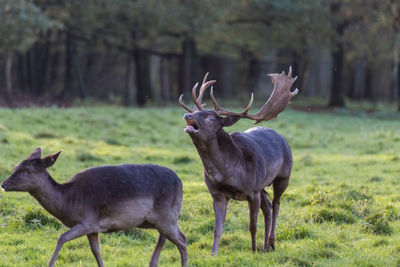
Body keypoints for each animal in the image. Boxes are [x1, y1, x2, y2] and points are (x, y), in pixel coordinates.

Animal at [0, 148, 188, 267]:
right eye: (16, 166)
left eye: (28, 171)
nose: (4, 184)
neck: (69, 203)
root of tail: (180, 182)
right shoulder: (93, 228)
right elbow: (96, 251)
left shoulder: (87, 221)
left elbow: (61, 237)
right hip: (161, 220)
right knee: (165, 238)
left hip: (168, 216)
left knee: (183, 240)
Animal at [178, 67, 296, 255]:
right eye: (196, 112)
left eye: (211, 118)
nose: (187, 114)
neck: (229, 174)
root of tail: (282, 137)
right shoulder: (217, 194)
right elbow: (217, 228)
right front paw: (213, 254)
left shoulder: (252, 190)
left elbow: (252, 225)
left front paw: (253, 251)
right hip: (263, 186)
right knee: (268, 207)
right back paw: (265, 246)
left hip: (283, 176)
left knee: (276, 204)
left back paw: (270, 243)